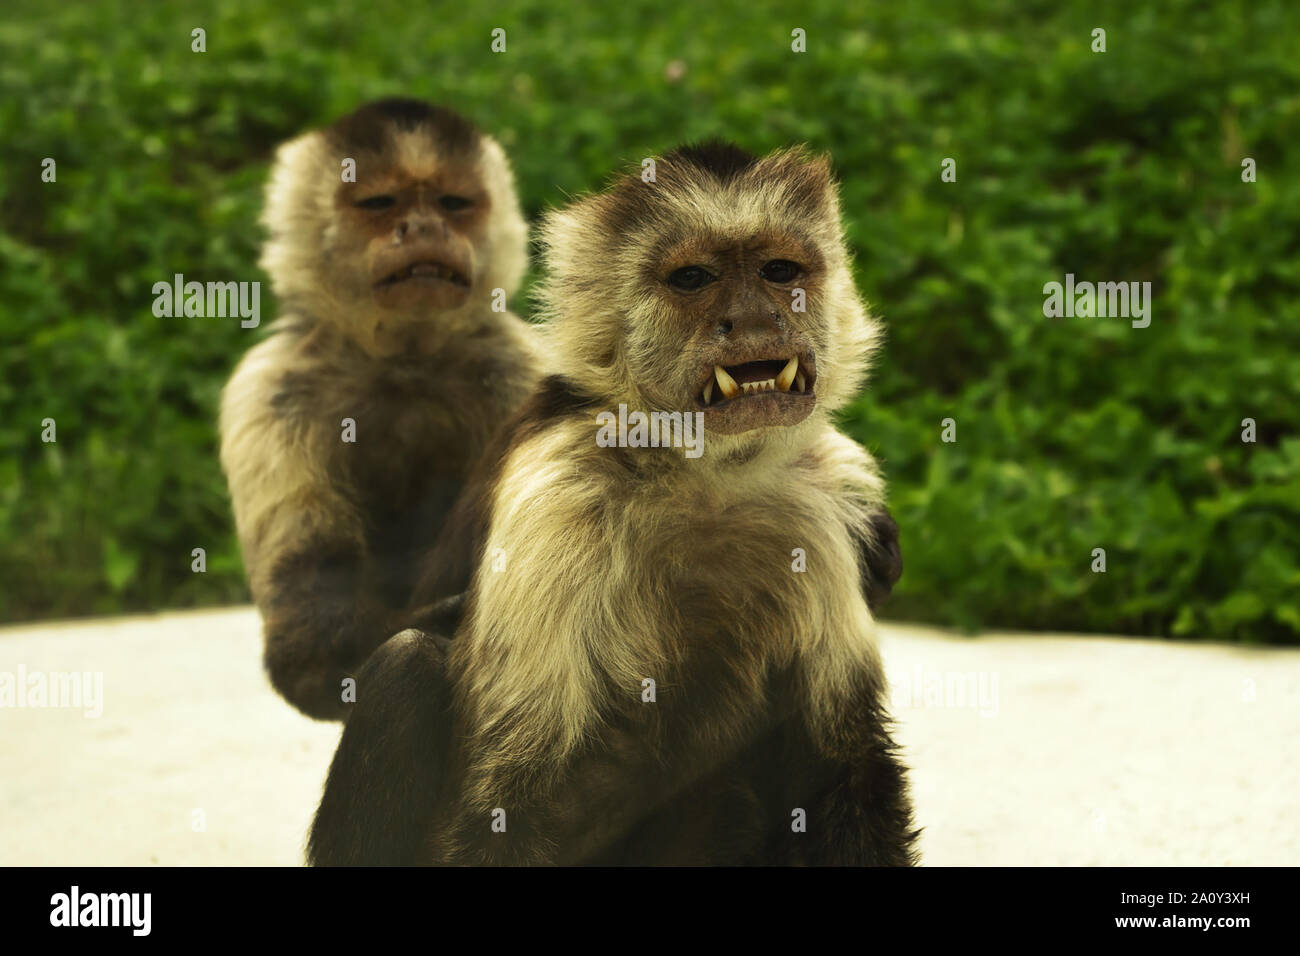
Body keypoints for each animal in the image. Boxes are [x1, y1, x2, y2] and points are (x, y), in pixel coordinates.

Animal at [218, 100, 538, 723]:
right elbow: (308, 653)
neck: (404, 363)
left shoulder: (519, 368)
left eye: (452, 203)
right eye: (379, 204)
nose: (425, 228)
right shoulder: (270, 392)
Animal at [308, 143, 909, 868]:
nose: (755, 319)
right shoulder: (559, 495)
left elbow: (848, 766)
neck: (703, 477)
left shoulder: (822, 500)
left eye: (779, 271)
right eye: (693, 279)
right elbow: (505, 810)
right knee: (407, 665)